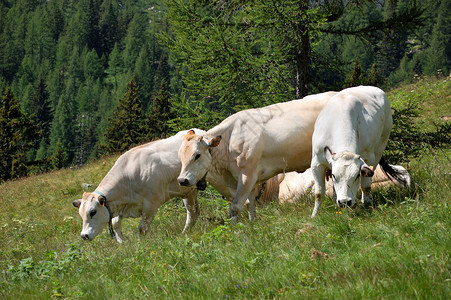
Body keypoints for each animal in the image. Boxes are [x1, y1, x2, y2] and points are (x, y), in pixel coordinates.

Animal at [72, 128, 207, 241]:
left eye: (93, 212)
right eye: (81, 214)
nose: (84, 235)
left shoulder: (151, 204)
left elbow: (142, 228)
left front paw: (142, 243)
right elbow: (115, 223)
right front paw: (122, 242)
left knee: (192, 213)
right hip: (187, 191)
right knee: (194, 212)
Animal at [177, 91, 340, 223]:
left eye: (197, 155)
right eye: (180, 156)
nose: (182, 180)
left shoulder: (247, 175)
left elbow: (236, 207)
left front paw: (233, 231)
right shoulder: (253, 179)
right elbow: (250, 204)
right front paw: (252, 225)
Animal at [310, 85, 406, 217]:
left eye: (356, 176)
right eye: (334, 175)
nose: (344, 202)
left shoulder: (368, 159)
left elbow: (366, 186)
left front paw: (367, 205)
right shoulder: (316, 163)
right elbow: (319, 193)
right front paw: (314, 215)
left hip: (381, 146)